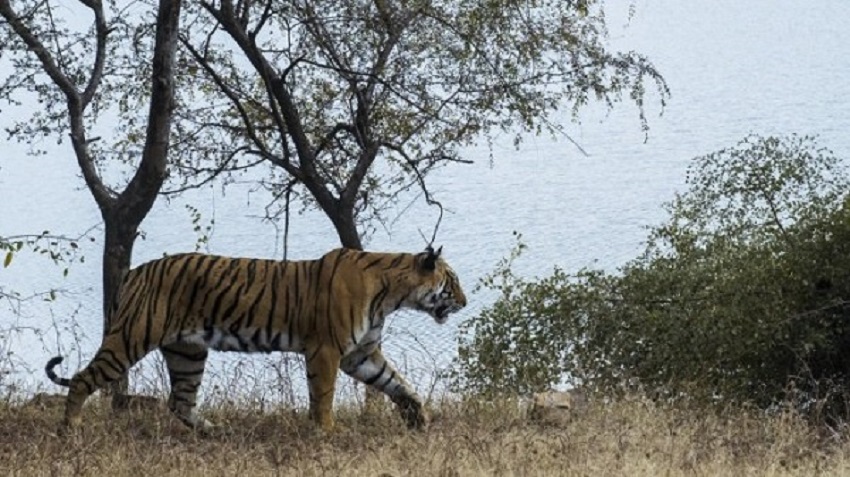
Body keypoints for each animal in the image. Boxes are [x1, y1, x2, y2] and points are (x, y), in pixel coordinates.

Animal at [43, 244, 468, 434]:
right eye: (452, 282)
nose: (465, 302)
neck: (392, 295)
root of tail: (134, 271)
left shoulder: (361, 354)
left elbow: (396, 382)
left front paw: (418, 417)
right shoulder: (327, 350)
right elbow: (323, 395)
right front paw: (326, 432)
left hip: (188, 352)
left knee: (179, 401)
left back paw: (213, 431)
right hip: (131, 337)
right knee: (81, 379)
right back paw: (71, 429)